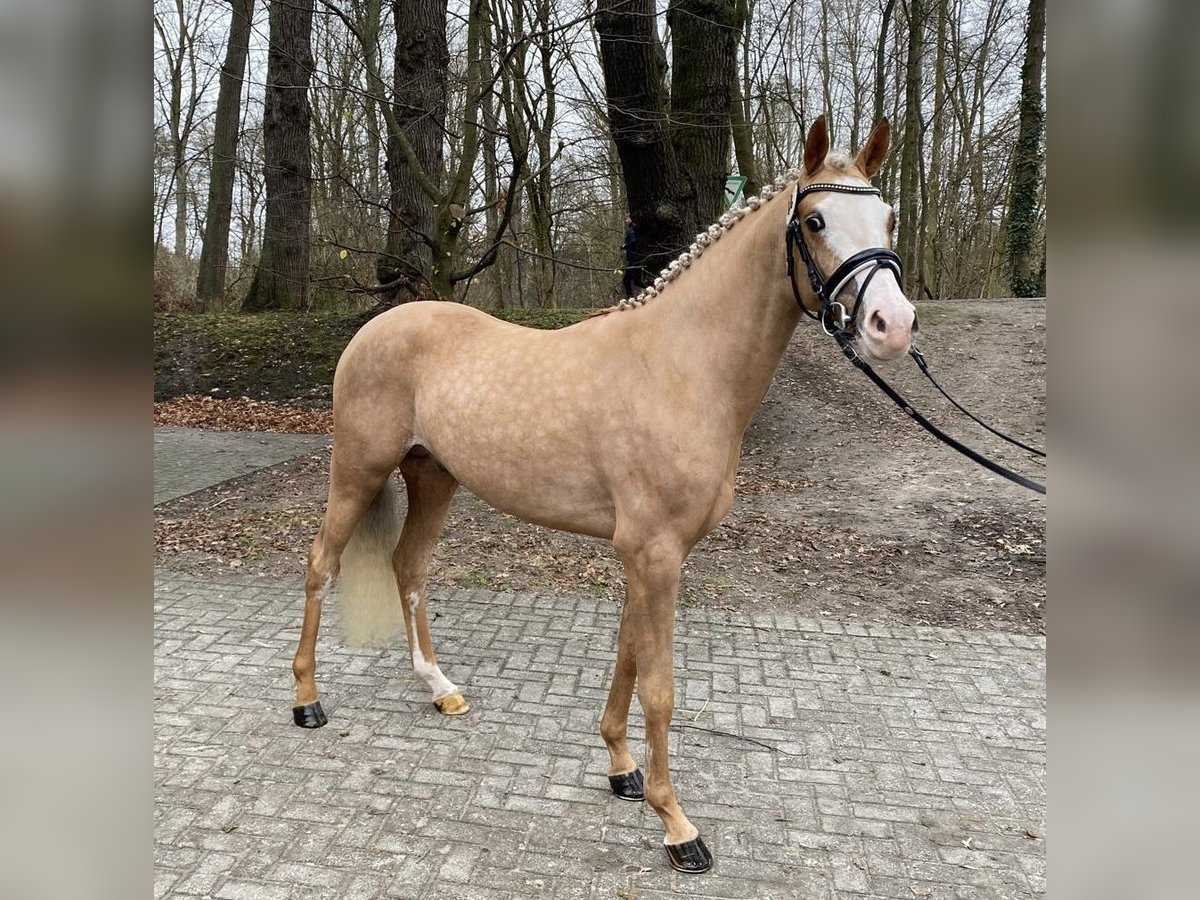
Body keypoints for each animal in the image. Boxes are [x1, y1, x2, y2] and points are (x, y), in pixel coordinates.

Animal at [295, 116, 912, 878]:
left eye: (889, 218)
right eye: (816, 220)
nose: (893, 325)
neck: (681, 367)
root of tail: (375, 328)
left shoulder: (646, 554)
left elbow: (627, 653)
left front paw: (621, 768)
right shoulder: (655, 554)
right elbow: (660, 687)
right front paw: (677, 827)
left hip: (433, 476)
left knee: (407, 567)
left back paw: (440, 689)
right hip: (357, 471)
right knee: (320, 565)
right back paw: (307, 701)